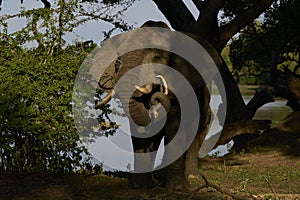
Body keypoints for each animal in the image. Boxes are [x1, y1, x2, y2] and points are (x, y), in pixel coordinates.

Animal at [95, 20, 221, 191]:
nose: (155, 101)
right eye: (118, 60)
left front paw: (178, 188)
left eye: (156, 57)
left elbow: (175, 124)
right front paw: (140, 186)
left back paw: (191, 176)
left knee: (194, 129)